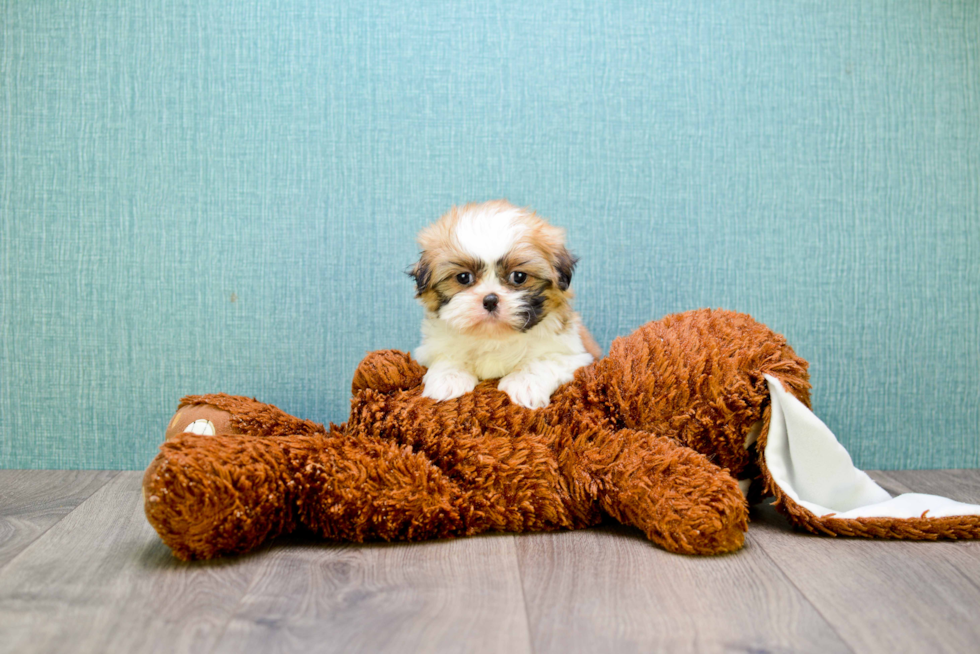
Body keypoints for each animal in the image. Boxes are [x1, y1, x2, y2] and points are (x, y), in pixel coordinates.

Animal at [410, 202, 600, 412]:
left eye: (518, 277)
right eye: (463, 277)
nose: (490, 300)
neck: (494, 338)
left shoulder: (576, 355)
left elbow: (545, 360)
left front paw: (525, 383)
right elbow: (445, 356)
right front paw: (448, 378)